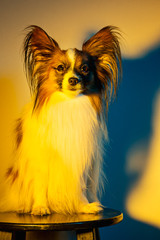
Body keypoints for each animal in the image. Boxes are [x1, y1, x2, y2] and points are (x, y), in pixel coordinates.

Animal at [0, 24, 121, 216]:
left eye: (85, 69)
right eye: (60, 68)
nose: (73, 80)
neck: (69, 103)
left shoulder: (79, 158)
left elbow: (79, 186)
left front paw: (83, 206)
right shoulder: (40, 159)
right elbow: (40, 185)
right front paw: (40, 207)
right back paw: (25, 206)